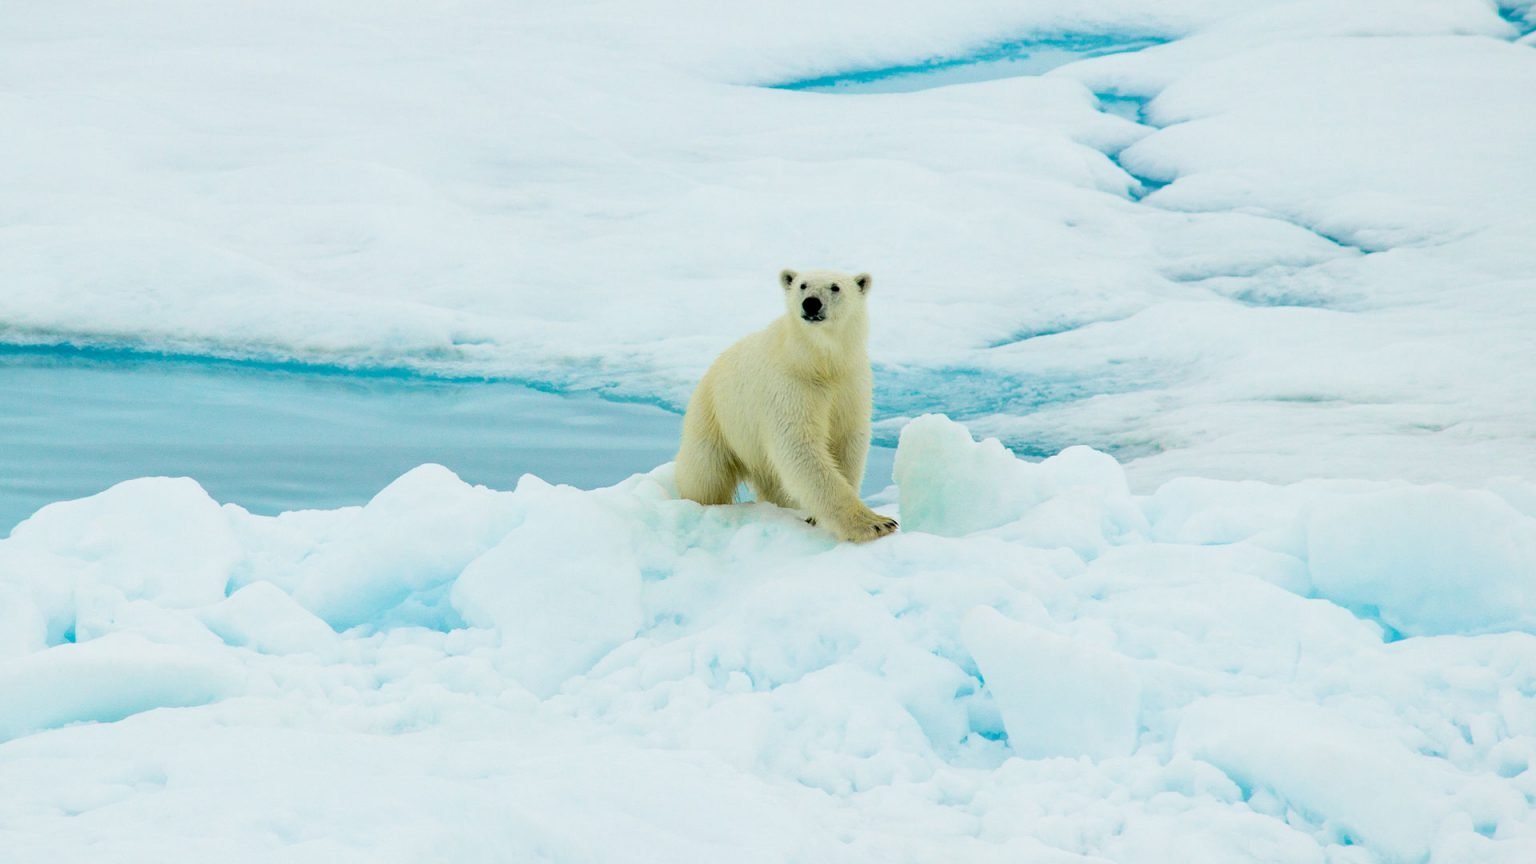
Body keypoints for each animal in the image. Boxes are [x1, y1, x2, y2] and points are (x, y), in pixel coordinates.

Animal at [675, 265, 897, 541]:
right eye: (802, 285)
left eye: (835, 287)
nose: (811, 303)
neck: (817, 363)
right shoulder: (790, 385)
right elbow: (800, 446)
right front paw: (875, 524)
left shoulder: (850, 383)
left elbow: (847, 441)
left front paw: (816, 516)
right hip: (715, 417)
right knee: (704, 475)